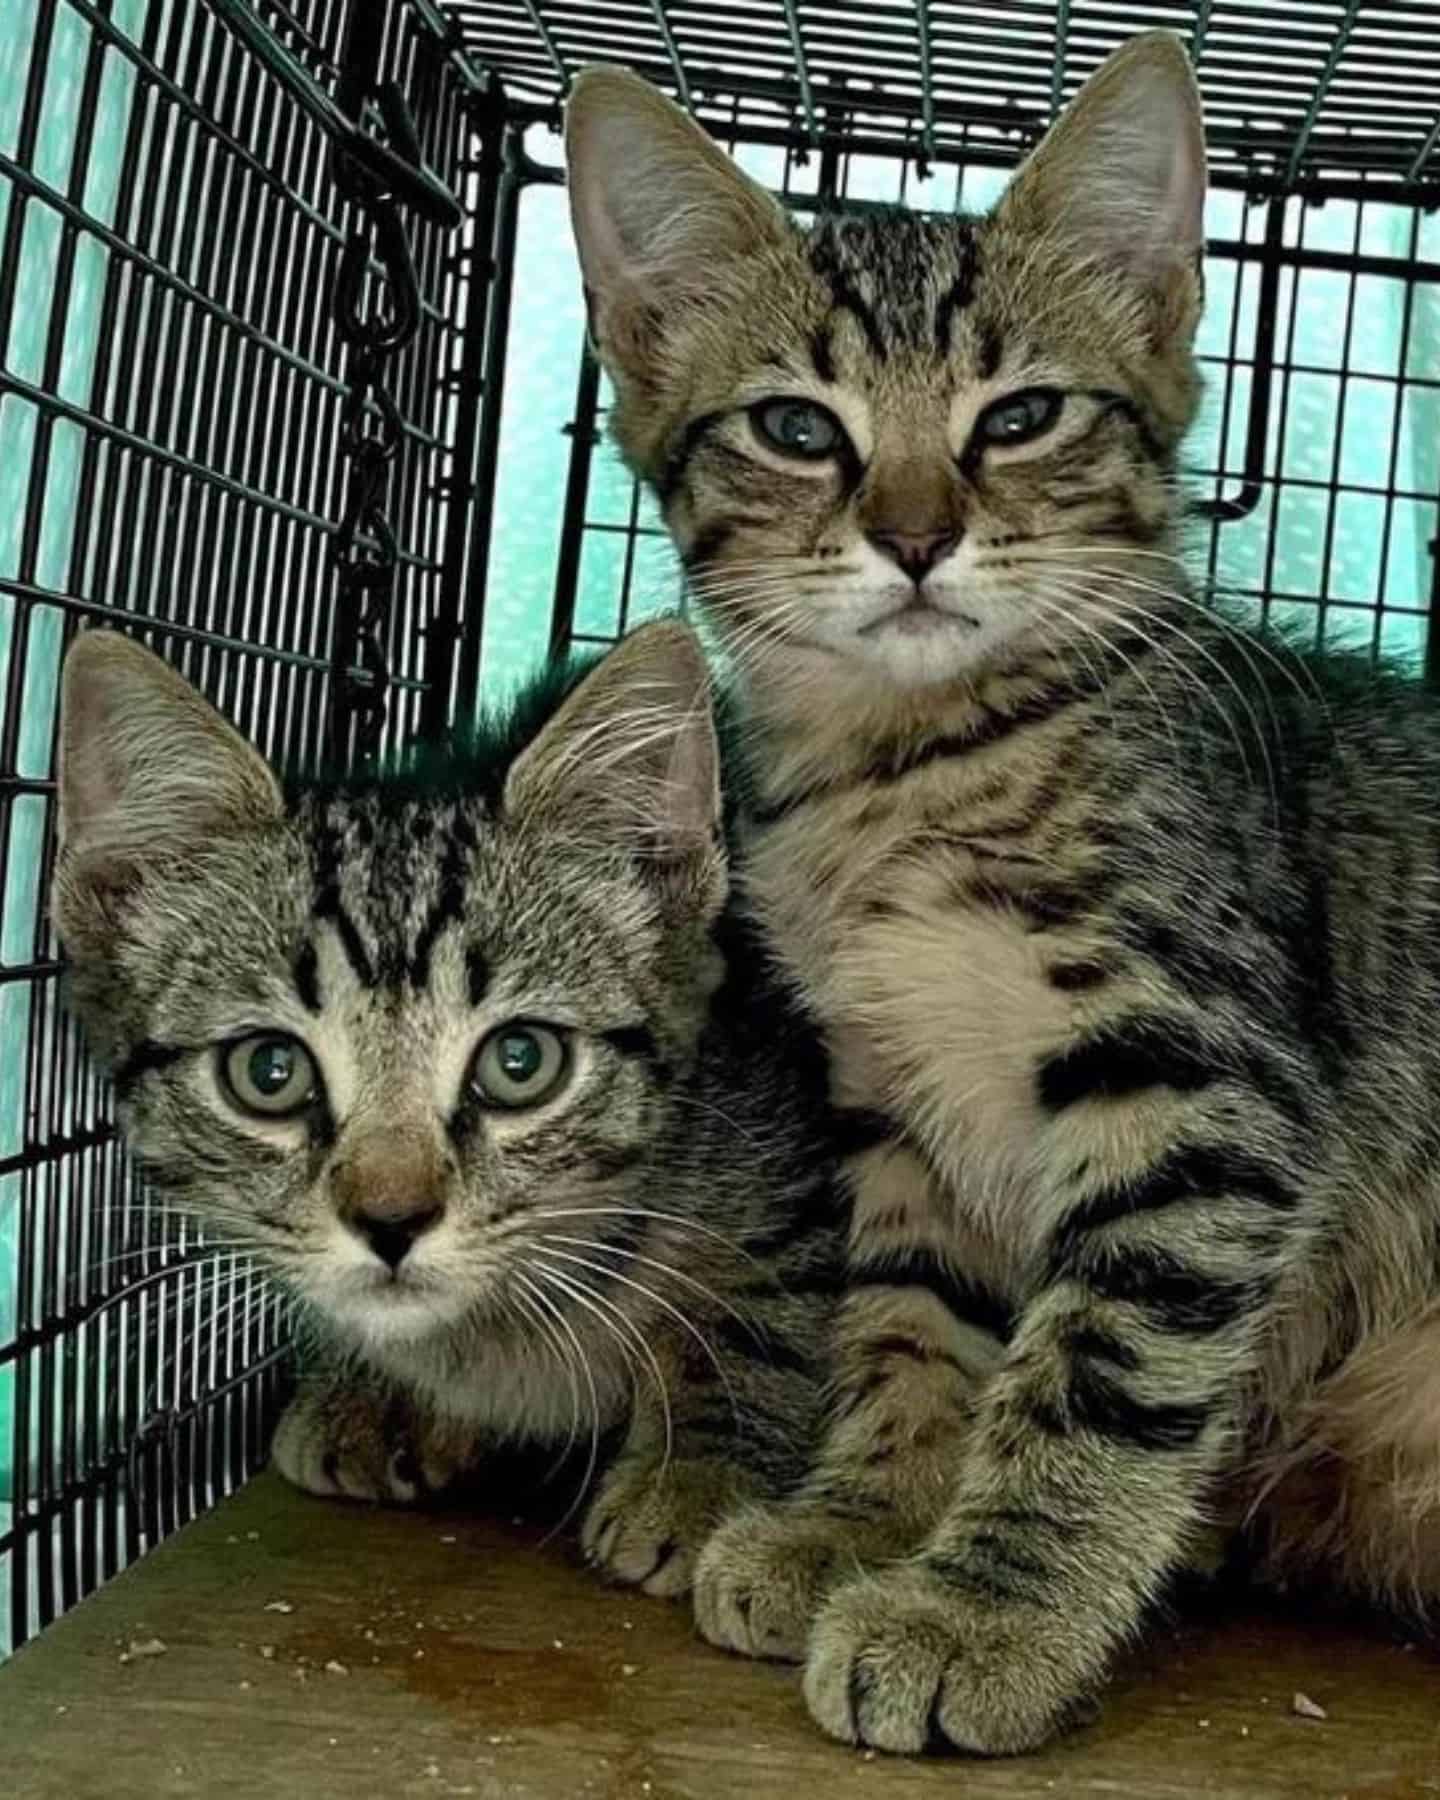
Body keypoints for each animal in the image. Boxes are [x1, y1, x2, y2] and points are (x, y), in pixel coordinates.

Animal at [53, 622, 842, 1605]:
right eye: (268, 1071)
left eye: (520, 1061)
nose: (392, 1221)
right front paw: (374, 1391)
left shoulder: (791, 1143)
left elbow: (763, 1306)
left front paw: (698, 1471)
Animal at [568, 31, 1440, 1756]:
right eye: (799, 429)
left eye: (1023, 415)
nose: (916, 536)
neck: (913, 776)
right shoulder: (899, 1102)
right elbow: (909, 1325)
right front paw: (862, 1515)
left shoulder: (1204, 1085)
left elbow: (1097, 1368)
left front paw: (987, 1610)